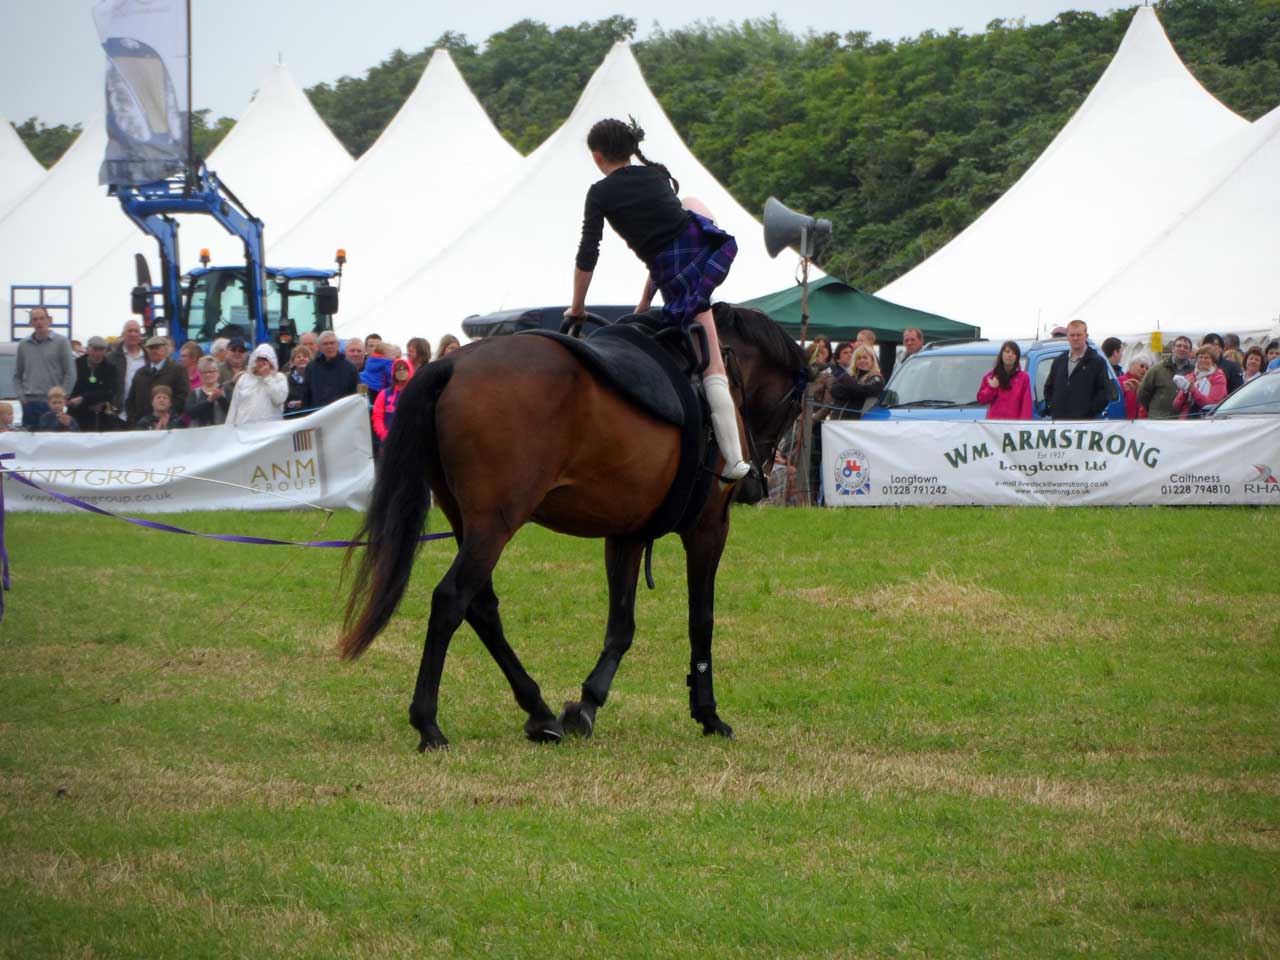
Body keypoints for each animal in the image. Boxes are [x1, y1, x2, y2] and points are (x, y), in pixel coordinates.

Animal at [337, 308, 798, 752]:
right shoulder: (708, 528)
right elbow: (701, 620)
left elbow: (621, 626)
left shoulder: (627, 535)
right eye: (794, 404)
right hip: (495, 525)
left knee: (481, 607)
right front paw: (708, 713)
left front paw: (588, 704)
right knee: (452, 599)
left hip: (468, 523)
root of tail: (451, 363)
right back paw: (429, 723)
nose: (756, 481)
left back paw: (539, 712)